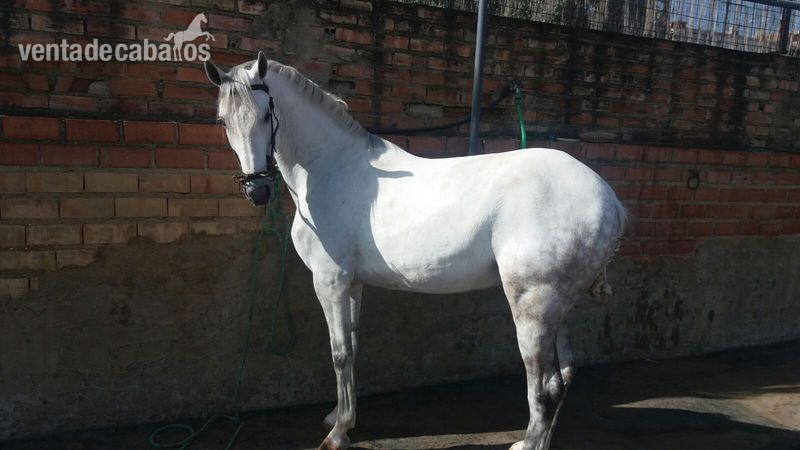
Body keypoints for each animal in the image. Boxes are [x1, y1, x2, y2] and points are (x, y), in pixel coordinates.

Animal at [203, 51, 626, 450]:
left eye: (265, 114)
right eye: (224, 121)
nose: (257, 190)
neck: (332, 167)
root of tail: (610, 200)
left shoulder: (330, 281)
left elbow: (339, 352)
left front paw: (338, 434)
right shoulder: (352, 284)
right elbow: (352, 347)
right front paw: (341, 417)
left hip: (533, 307)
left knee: (544, 387)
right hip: (558, 309)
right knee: (564, 378)